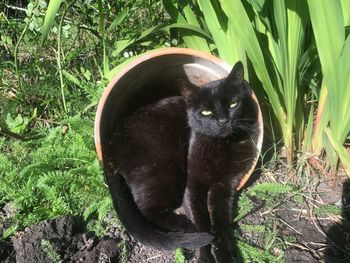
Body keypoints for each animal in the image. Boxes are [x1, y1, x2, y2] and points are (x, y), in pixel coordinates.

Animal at [180, 60, 260, 262]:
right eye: (206, 112)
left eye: (233, 104)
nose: (223, 121)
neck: (222, 146)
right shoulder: (193, 183)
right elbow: (200, 222)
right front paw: (204, 256)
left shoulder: (225, 186)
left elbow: (220, 220)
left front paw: (223, 254)